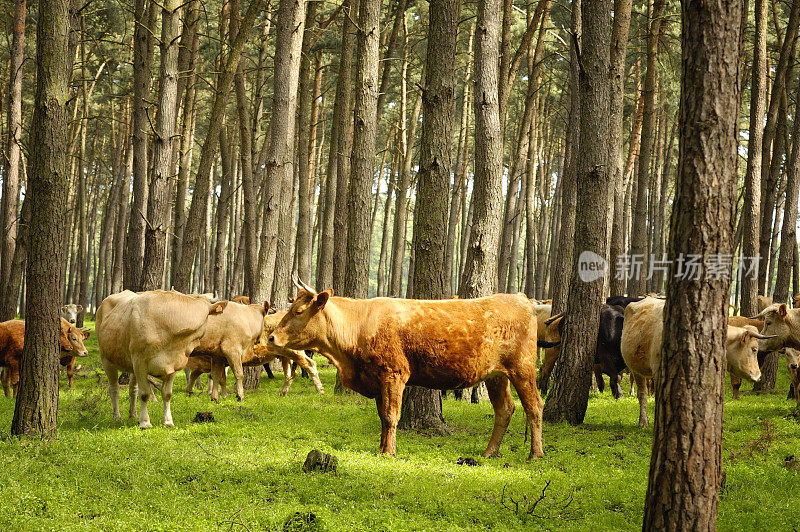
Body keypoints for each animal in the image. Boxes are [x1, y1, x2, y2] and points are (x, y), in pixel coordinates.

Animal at [97, 290, 228, 428]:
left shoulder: (173, 364)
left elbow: (167, 394)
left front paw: (168, 421)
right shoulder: (139, 363)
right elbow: (144, 394)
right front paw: (145, 422)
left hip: (130, 366)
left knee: (133, 389)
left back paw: (133, 414)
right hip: (107, 360)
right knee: (114, 389)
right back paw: (117, 417)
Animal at [268, 280, 544, 460]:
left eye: (298, 311)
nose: (271, 337)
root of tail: (521, 298)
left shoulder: (394, 374)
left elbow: (392, 416)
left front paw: (390, 452)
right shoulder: (376, 379)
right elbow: (382, 416)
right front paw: (381, 448)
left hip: (523, 368)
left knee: (534, 407)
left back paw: (535, 454)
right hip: (496, 375)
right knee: (505, 409)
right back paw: (489, 452)